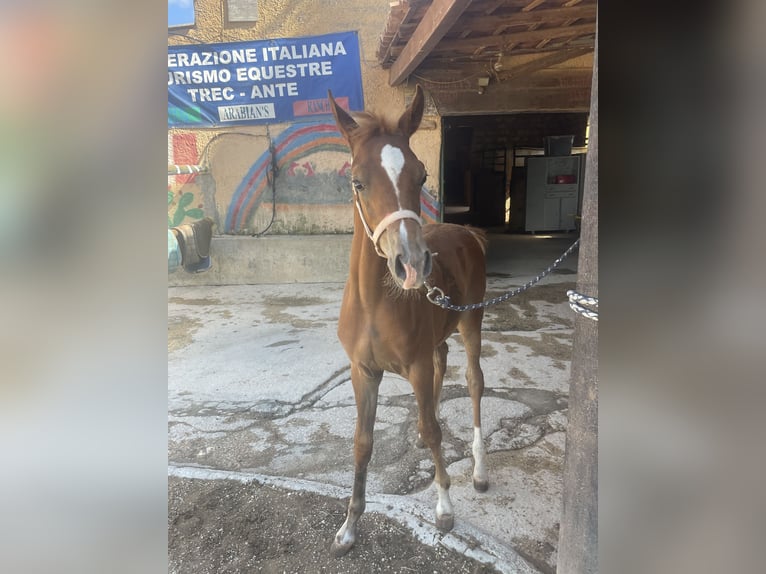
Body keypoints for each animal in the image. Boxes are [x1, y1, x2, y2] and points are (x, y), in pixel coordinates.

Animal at [328, 85, 488, 560]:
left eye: (420, 176)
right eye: (357, 181)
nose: (413, 264)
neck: (374, 305)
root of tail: (468, 232)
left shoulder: (413, 366)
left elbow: (434, 432)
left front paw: (444, 507)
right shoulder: (362, 371)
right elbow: (362, 443)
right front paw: (348, 528)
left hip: (473, 323)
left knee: (473, 381)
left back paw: (479, 470)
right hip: (438, 335)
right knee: (442, 361)